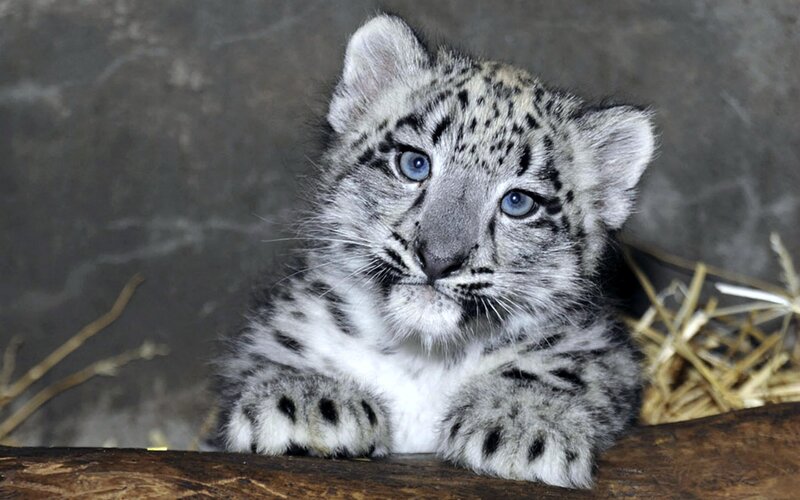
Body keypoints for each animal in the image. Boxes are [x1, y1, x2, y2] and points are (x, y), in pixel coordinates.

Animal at [213, 14, 655, 489]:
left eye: (519, 202)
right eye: (414, 163)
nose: (438, 259)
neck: (421, 358)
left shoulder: (599, 346)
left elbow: (571, 368)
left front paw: (525, 425)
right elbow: (270, 354)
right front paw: (307, 402)